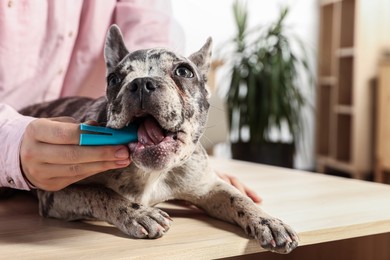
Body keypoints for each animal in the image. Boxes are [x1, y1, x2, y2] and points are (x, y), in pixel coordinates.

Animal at [17, 24, 298, 254]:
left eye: (184, 71)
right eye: (113, 79)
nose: (141, 83)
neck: (148, 174)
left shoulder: (209, 188)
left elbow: (238, 198)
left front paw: (268, 221)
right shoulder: (57, 193)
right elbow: (100, 193)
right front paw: (138, 213)